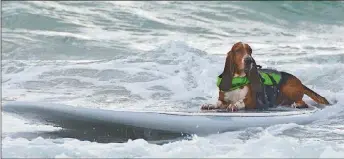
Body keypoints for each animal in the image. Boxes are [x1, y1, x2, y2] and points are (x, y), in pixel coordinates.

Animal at [202, 41, 330, 112]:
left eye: (250, 51)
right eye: (238, 50)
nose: (249, 60)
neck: (238, 79)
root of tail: (301, 83)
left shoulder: (252, 102)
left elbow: (240, 102)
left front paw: (234, 105)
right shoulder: (223, 100)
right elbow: (218, 102)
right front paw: (209, 104)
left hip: (288, 89)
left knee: (303, 103)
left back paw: (296, 104)